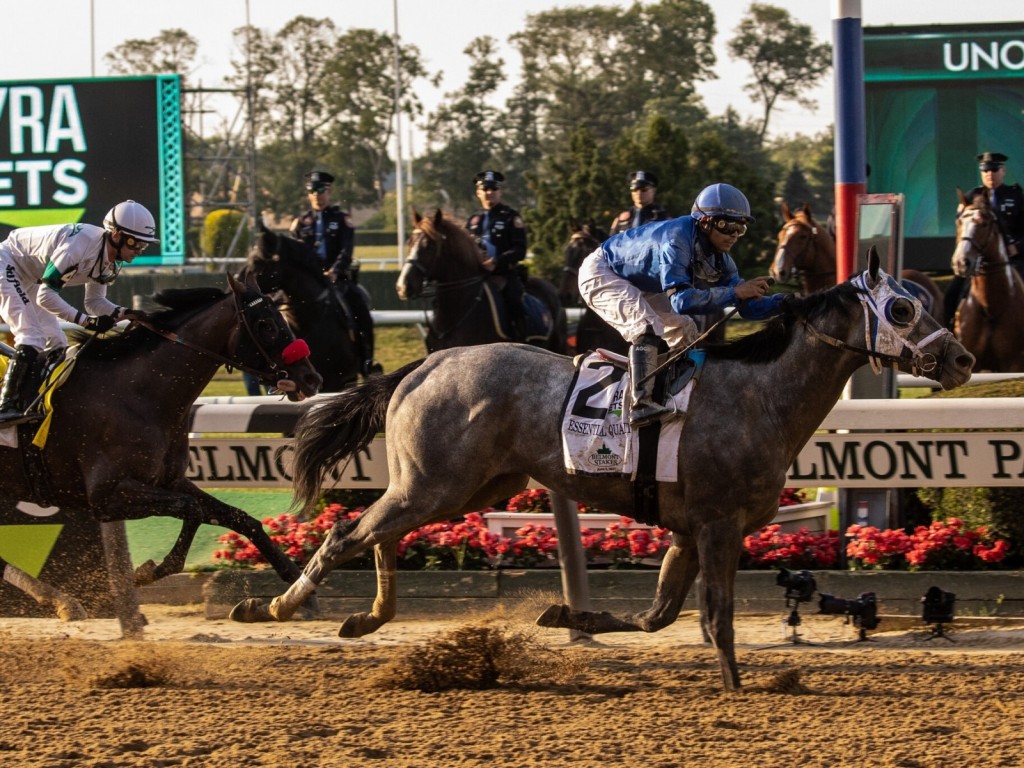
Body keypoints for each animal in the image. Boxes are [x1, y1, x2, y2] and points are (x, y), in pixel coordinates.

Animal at [0, 274, 319, 638]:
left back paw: (63, 601)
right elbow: (191, 509)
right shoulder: (106, 498)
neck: (135, 393)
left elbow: (242, 518)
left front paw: (296, 585)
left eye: (282, 319)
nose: (312, 378)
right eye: (266, 324)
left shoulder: (170, 480)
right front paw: (148, 571)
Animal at [946, 191, 1024, 374]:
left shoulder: (1014, 365)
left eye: (984, 224)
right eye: (959, 221)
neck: (990, 308)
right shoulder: (971, 364)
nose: (960, 262)